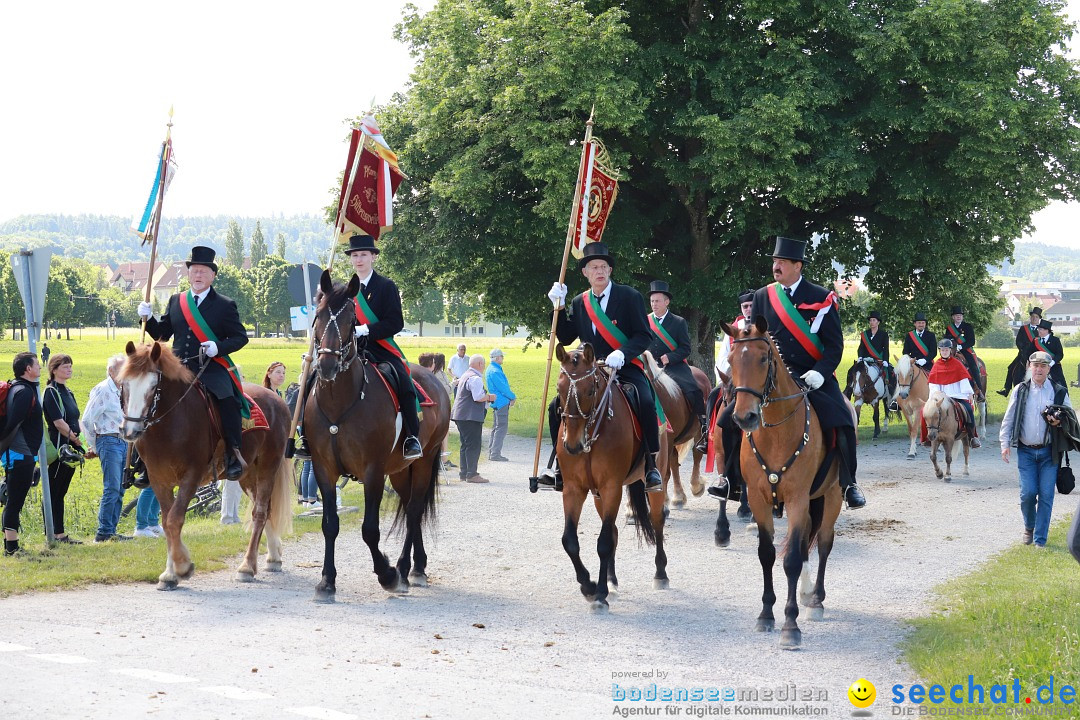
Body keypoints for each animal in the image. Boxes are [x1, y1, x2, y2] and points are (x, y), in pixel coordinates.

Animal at [121, 343, 295, 591]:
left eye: (154, 386)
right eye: (124, 383)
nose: (131, 430)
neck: (170, 424)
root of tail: (276, 399)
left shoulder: (191, 476)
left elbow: (174, 520)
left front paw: (182, 566)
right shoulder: (158, 479)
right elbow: (166, 521)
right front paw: (170, 573)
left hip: (268, 466)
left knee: (260, 512)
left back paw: (247, 566)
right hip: (247, 474)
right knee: (265, 509)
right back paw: (273, 556)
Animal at [306, 269, 449, 604]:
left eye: (350, 321)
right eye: (318, 316)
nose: (327, 365)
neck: (341, 401)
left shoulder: (373, 471)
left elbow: (370, 530)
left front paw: (387, 574)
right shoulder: (323, 469)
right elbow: (329, 525)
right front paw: (326, 581)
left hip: (422, 462)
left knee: (414, 510)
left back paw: (407, 569)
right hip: (398, 470)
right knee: (410, 506)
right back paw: (415, 567)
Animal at [557, 341, 665, 613]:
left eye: (590, 390)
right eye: (559, 389)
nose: (572, 445)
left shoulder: (612, 487)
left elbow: (603, 542)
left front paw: (599, 595)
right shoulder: (574, 488)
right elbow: (570, 540)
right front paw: (589, 585)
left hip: (656, 482)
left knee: (657, 521)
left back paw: (661, 574)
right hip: (597, 496)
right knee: (615, 530)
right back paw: (611, 580)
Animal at [643, 354, 712, 507]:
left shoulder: (666, 440)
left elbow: (664, 472)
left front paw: (662, 501)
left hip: (697, 432)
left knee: (696, 455)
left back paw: (695, 486)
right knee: (674, 461)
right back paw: (678, 495)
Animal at [721, 317, 846, 651]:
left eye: (764, 359)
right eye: (731, 360)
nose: (745, 417)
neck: (776, 432)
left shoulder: (797, 499)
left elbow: (789, 560)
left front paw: (790, 626)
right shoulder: (759, 499)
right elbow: (767, 554)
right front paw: (766, 614)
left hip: (832, 496)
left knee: (824, 543)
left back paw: (816, 600)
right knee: (804, 545)